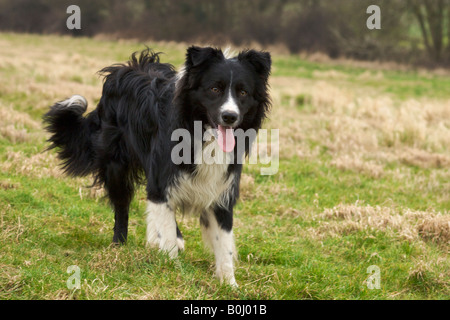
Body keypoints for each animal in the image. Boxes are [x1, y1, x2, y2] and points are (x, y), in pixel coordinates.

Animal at [43, 45, 270, 284]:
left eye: (243, 93)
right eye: (215, 89)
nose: (229, 117)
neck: (199, 133)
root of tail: (121, 68)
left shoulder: (221, 187)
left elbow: (224, 242)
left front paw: (229, 284)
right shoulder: (162, 177)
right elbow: (166, 229)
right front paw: (172, 271)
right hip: (116, 164)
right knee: (123, 206)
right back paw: (119, 246)